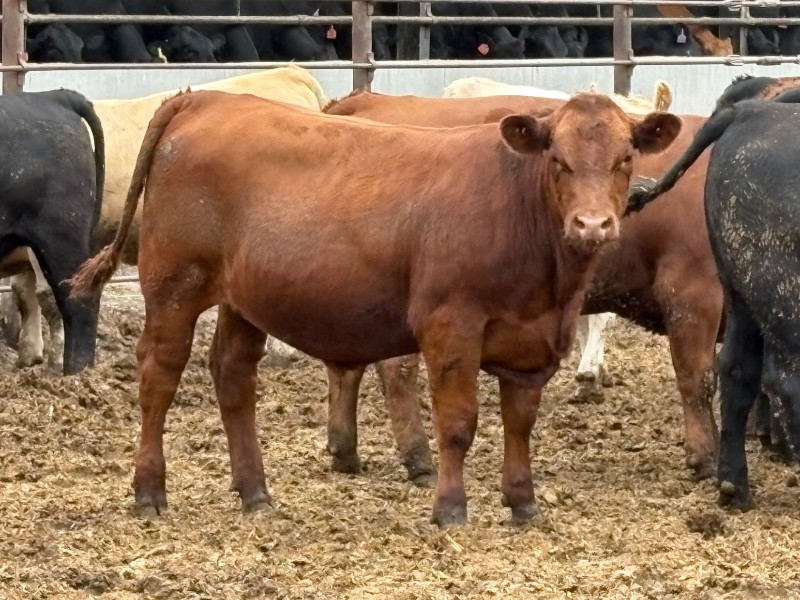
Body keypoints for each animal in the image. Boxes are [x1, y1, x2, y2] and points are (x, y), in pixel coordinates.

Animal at [68, 91, 680, 524]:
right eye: (557, 158)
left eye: (626, 158)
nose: (593, 225)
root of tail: (206, 98)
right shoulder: (451, 325)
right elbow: (458, 422)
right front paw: (450, 509)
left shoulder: (534, 341)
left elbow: (519, 423)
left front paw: (523, 503)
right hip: (173, 285)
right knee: (159, 376)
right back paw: (149, 491)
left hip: (243, 299)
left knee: (234, 376)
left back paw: (256, 493)